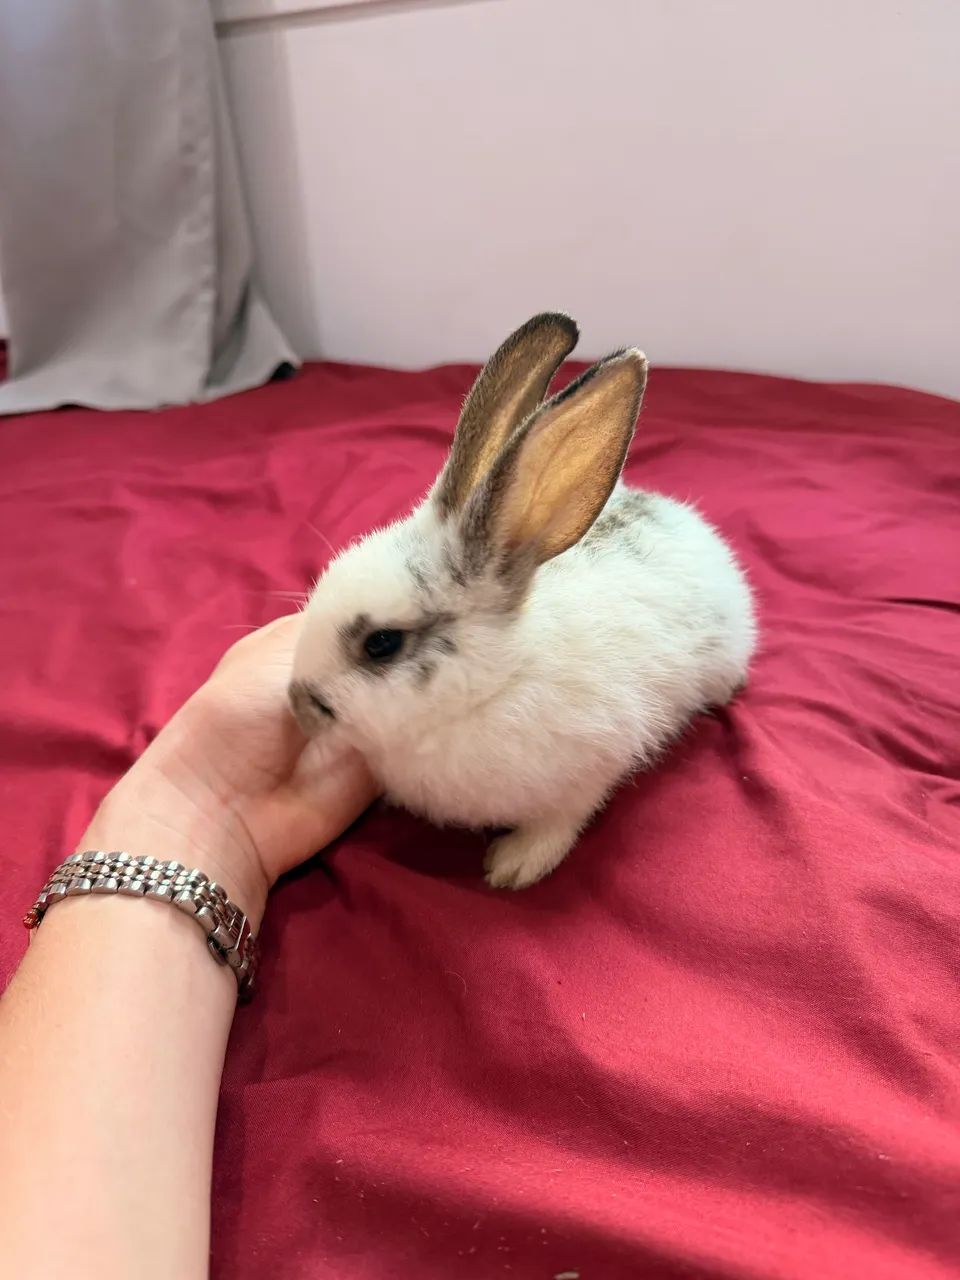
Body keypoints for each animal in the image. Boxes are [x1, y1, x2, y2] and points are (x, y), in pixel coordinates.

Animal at [289, 313, 757, 890]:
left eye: (381, 643)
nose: (298, 708)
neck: (496, 683)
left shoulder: (589, 770)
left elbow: (562, 820)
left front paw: (513, 867)